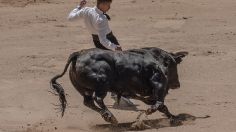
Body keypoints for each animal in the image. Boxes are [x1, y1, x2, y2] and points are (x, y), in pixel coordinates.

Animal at [50, 47, 188, 124]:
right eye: (174, 65)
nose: (177, 84)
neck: (159, 60)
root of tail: (78, 54)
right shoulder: (159, 85)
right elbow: (159, 103)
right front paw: (149, 112)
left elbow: (162, 106)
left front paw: (174, 118)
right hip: (102, 85)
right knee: (98, 99)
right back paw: (110, 116)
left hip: (85, 90)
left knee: (88, 102)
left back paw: (108, 117)